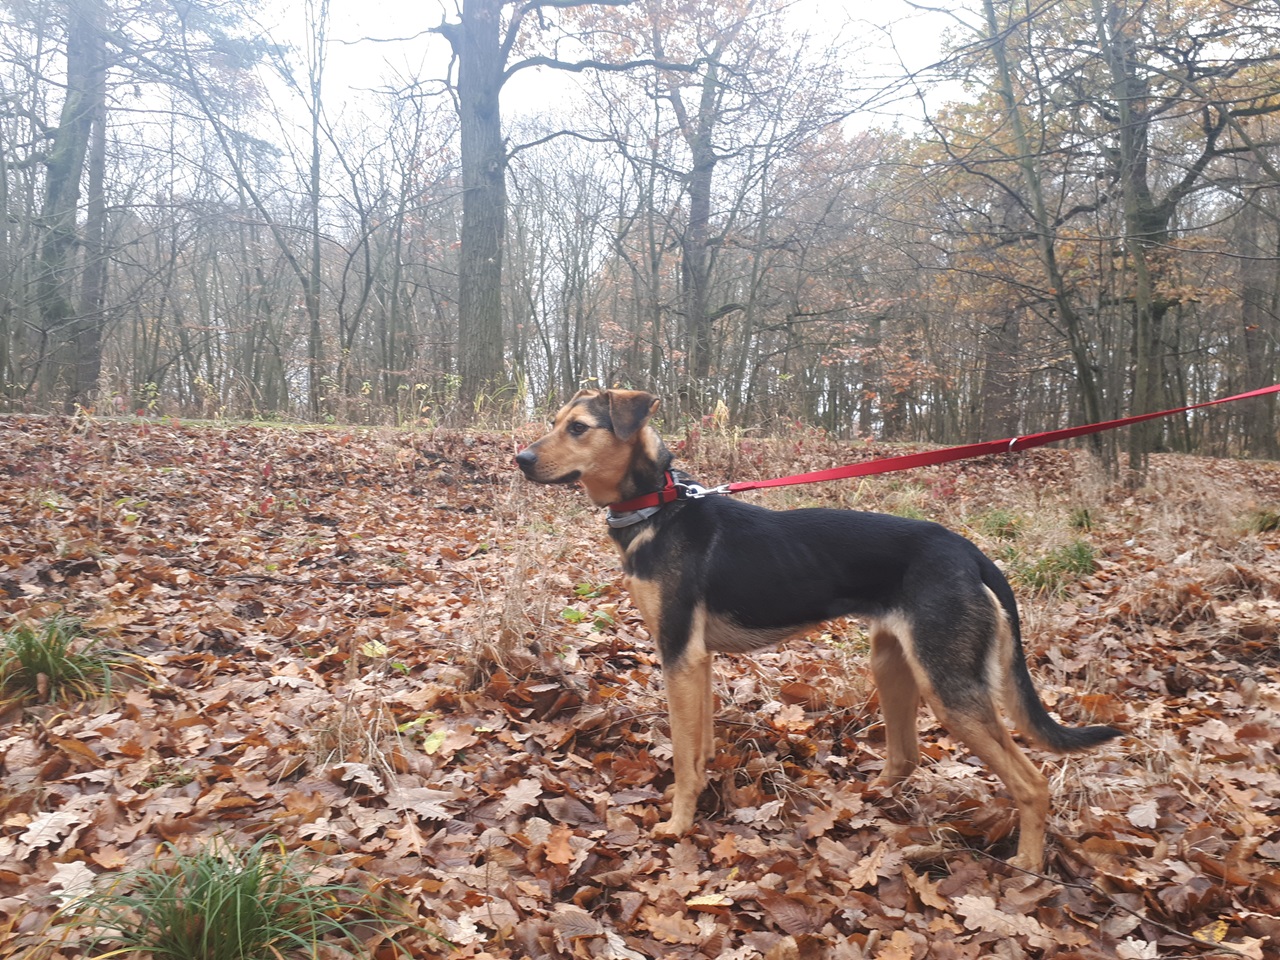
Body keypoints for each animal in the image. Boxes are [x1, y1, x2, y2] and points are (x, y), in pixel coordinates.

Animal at [515, 388, 1122, 868]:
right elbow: (700, 746)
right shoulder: (696, 660)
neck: (658, 508)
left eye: (578, 427)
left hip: (948, 686)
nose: (520, 459)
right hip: (891, 662)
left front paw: (677, 825)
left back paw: (1028, 866)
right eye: (554, 420)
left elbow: (684, 759)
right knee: (905, 757)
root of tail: (970, 553)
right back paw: (869, 800)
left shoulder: (678, 653)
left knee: (1032, 783)